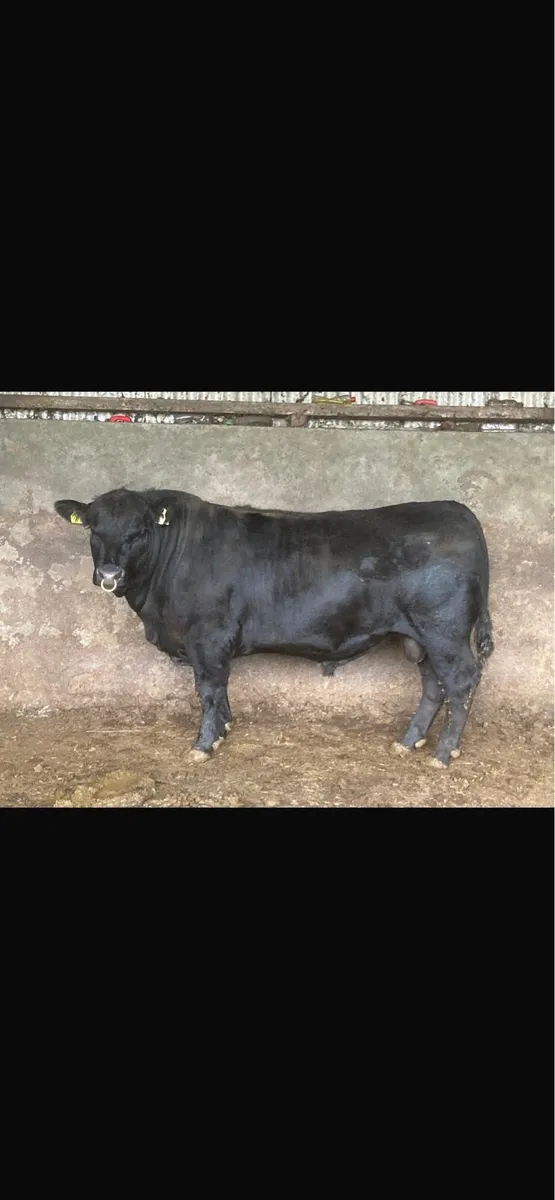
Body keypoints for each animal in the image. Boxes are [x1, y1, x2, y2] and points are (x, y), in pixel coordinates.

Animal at [55, 488, 494, 768]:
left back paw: (443, 754)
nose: (109, 574)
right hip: (419, 637)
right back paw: (408, 742)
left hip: (444, 631)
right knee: (433, 684)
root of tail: (455, 508)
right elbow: (221, 690)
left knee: (460, 681)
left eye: (141, 530)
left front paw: (204, 744)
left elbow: (209, 690)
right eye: (93, 529)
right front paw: (224, 730)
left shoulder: (208, 637)